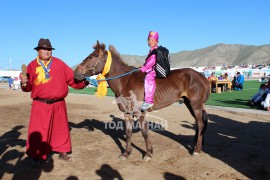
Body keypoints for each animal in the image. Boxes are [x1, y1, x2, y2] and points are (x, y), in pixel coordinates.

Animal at [74, 41, 211, 161]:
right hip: (190, 104)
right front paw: (126, 153)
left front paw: (148, 153)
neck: (125, 81)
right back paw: (198, 145)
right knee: (200, 123)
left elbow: (144, 132)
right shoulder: (127, 113)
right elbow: (128, 132)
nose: (76, 73)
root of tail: (203, 77)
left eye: (92, 56)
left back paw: (197, 150)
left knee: (200, 124)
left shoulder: (140, 113)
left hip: (195, 105)